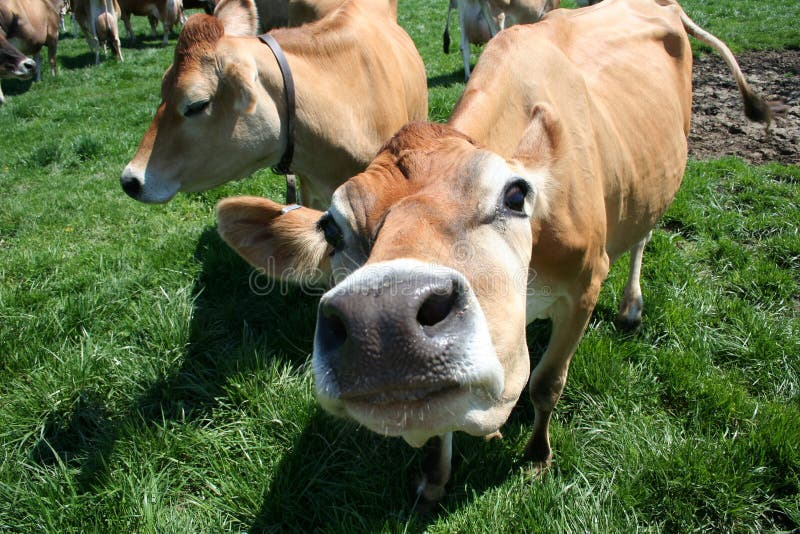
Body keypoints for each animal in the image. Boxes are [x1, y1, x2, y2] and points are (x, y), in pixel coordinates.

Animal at [216, 0, 780, 506]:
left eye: (515, 195)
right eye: (332, 229)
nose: (383, 323)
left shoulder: (584, 285)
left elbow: (547, 384)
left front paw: (536, 455)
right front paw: (437, 478)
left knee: (641, 236)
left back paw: (632, 306)